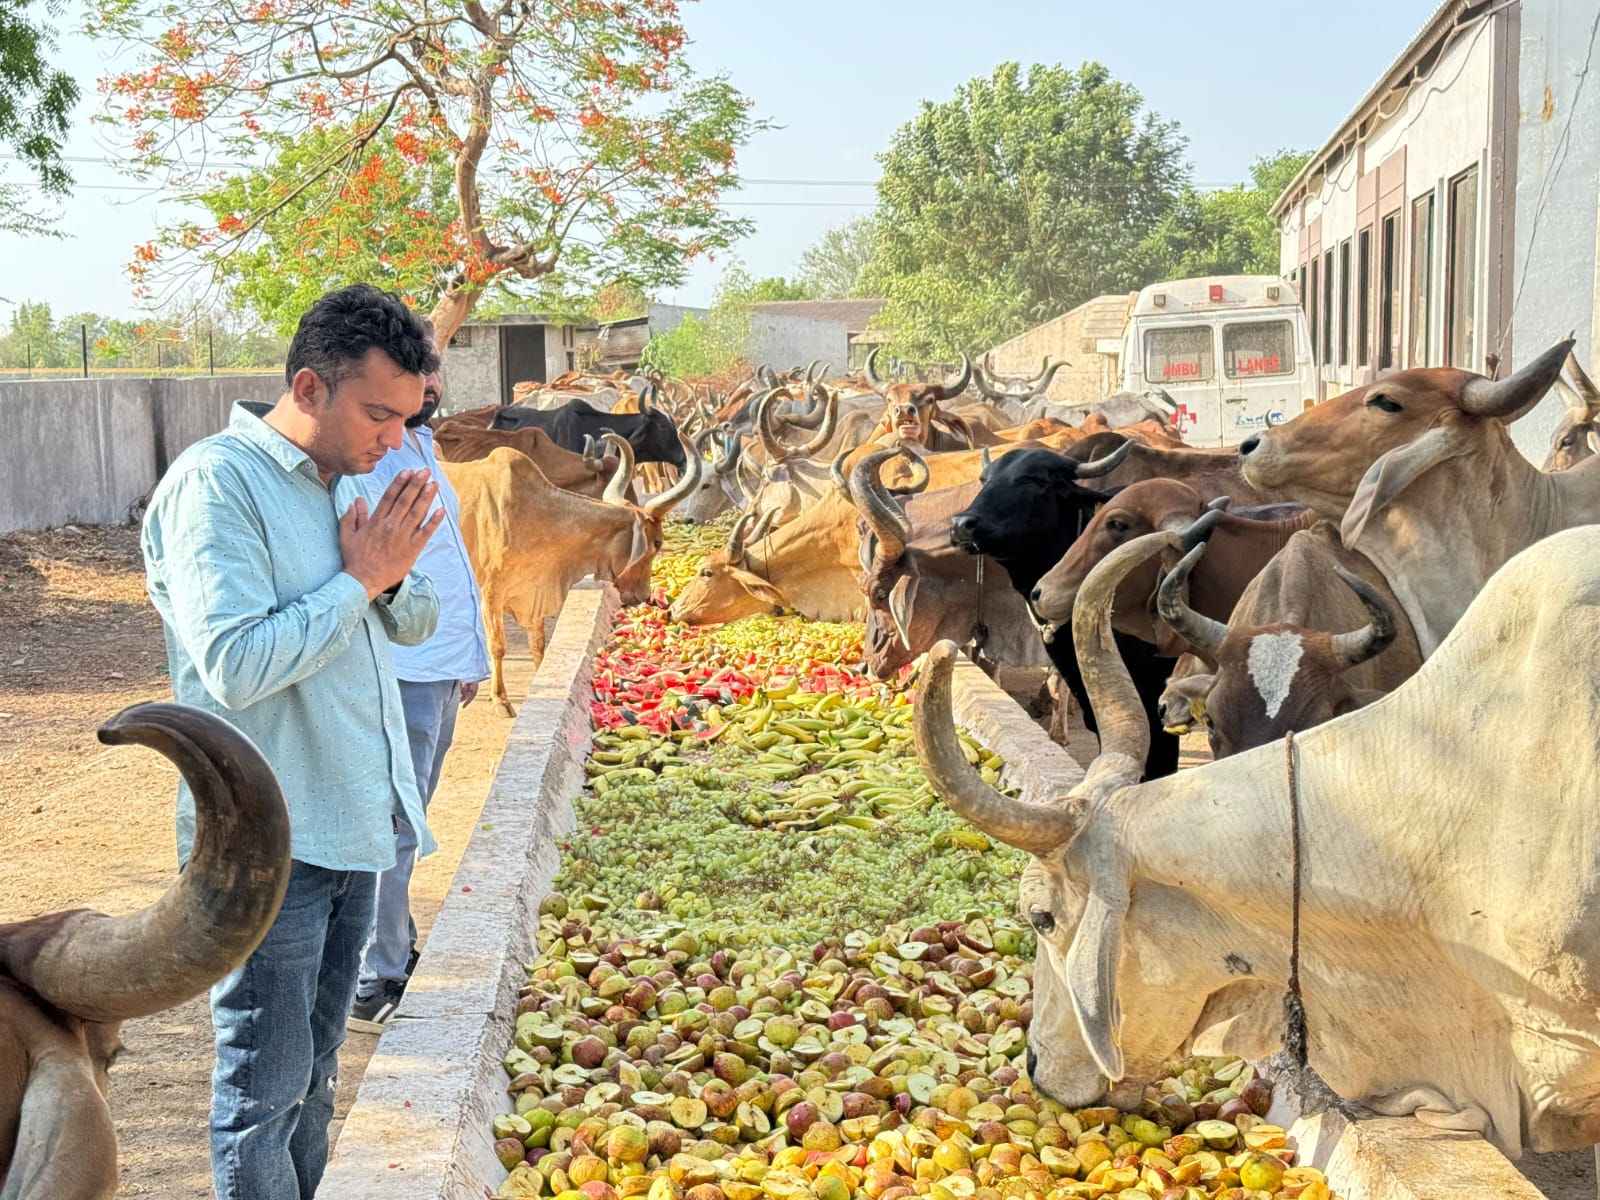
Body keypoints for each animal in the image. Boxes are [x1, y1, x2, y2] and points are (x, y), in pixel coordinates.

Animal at [451, 432, 700, 713]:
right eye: (657, 543)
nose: (644, 595)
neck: (542, 515)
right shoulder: (490, 592)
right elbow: (497, 646)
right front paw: (501, 700)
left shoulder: (533, 593)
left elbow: (538, 644)